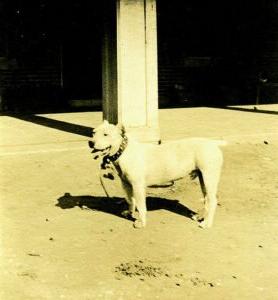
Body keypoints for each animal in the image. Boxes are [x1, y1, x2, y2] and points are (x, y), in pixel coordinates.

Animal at [89, 120, 226, 229]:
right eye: (93, 133)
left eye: (106, 134)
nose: (90, 142)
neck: (123, 151)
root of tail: (213, 143)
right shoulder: (126, 184)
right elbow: (130, 200)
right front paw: (129, 213)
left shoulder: (138, 186)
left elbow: (141, 205)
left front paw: (141, 223)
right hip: (203, 178)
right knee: (207, 199)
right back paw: (200, 218)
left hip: (209, 177)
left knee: (212, 200)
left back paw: (206, 224)